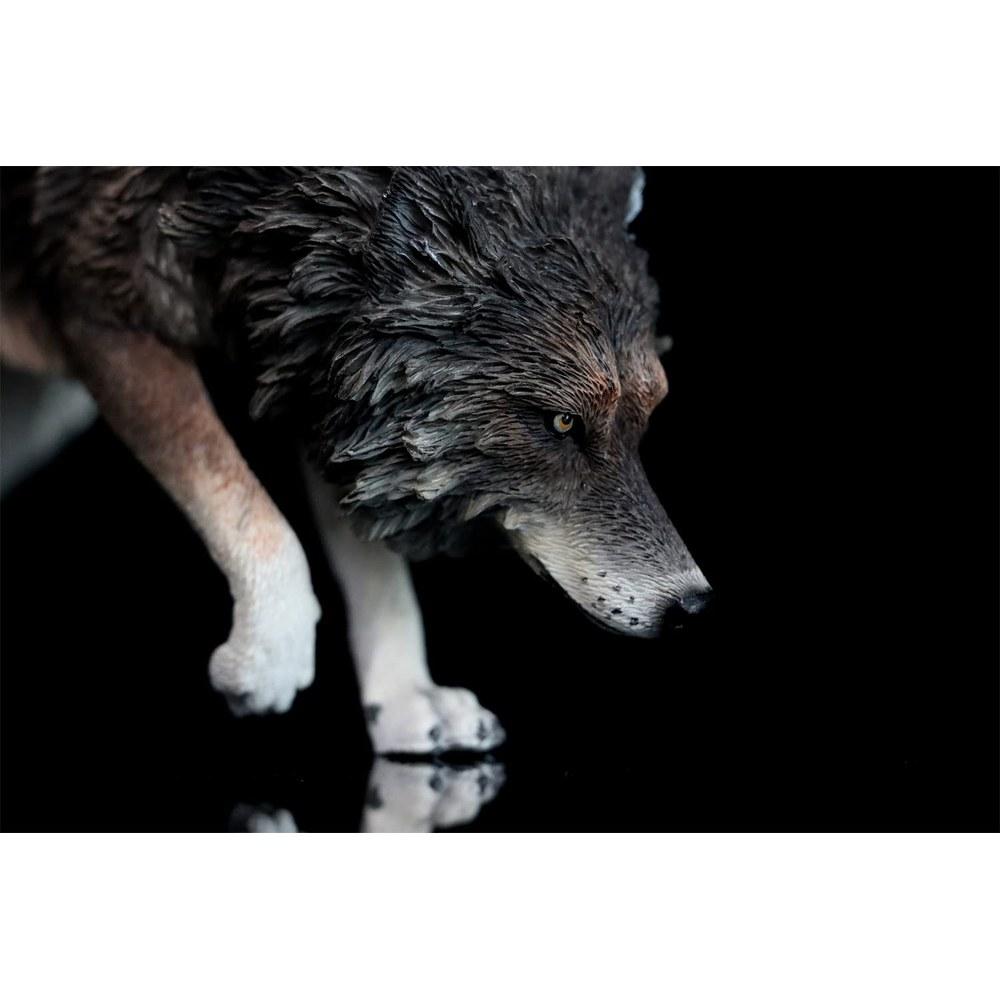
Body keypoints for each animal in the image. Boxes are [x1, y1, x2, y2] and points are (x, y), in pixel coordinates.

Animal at [0, 167, 711, 754]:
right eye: (563, 423)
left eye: (650, 417)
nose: (693, 605)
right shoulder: (101, 303)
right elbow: (252, 515)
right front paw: (269, 660)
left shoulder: (326, 387)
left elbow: (380, 575)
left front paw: (406, 704)